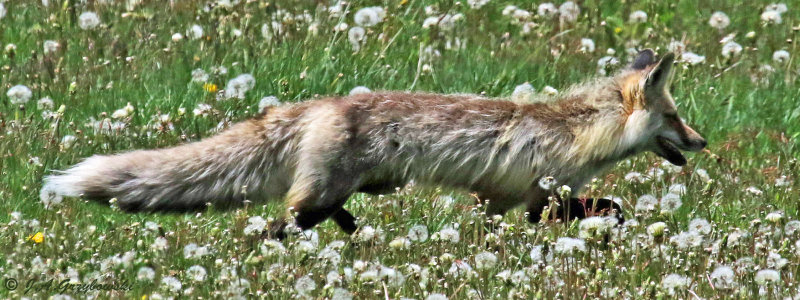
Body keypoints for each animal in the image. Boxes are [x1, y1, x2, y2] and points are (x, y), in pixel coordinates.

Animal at [42, 49, 708, 237]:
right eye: (676, 118)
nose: (703, 142)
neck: (576, 131)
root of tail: (315, 105)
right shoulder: (534, 193)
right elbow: (607, 208)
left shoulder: (512, 199)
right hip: (313, 200)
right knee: (275, 229)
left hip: (340, 192)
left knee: (338, 219)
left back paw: (359, 241)